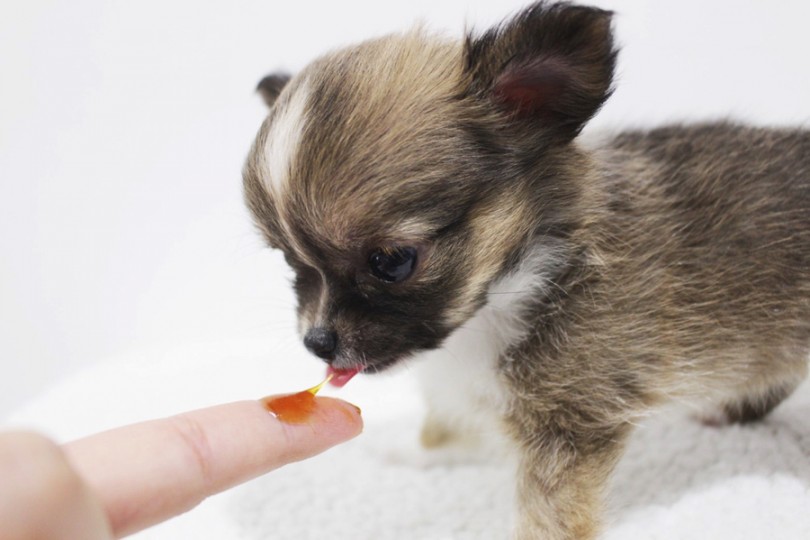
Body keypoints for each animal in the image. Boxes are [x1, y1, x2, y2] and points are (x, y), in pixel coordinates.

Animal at [243, 2, 808, 536]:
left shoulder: (569, 425)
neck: (505, 295)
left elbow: (547, 516)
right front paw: (414, 447)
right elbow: (447, 424)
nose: (316, 342)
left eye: (392, 261)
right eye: (289, 260)